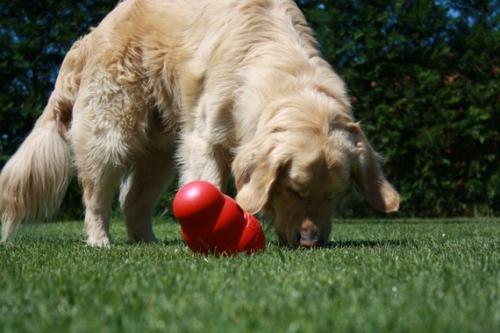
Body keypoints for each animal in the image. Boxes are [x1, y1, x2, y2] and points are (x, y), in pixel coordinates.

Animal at [0, 0, 398, 246]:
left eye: (334, 196)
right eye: (294, 190)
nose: (310, 242)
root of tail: (92, 34)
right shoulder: (204, 138)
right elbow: (207, 183)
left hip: (159, 153)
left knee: (133, 200)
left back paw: (147, 242)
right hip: (112, 132)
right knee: (97, 195)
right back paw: (100, 241)